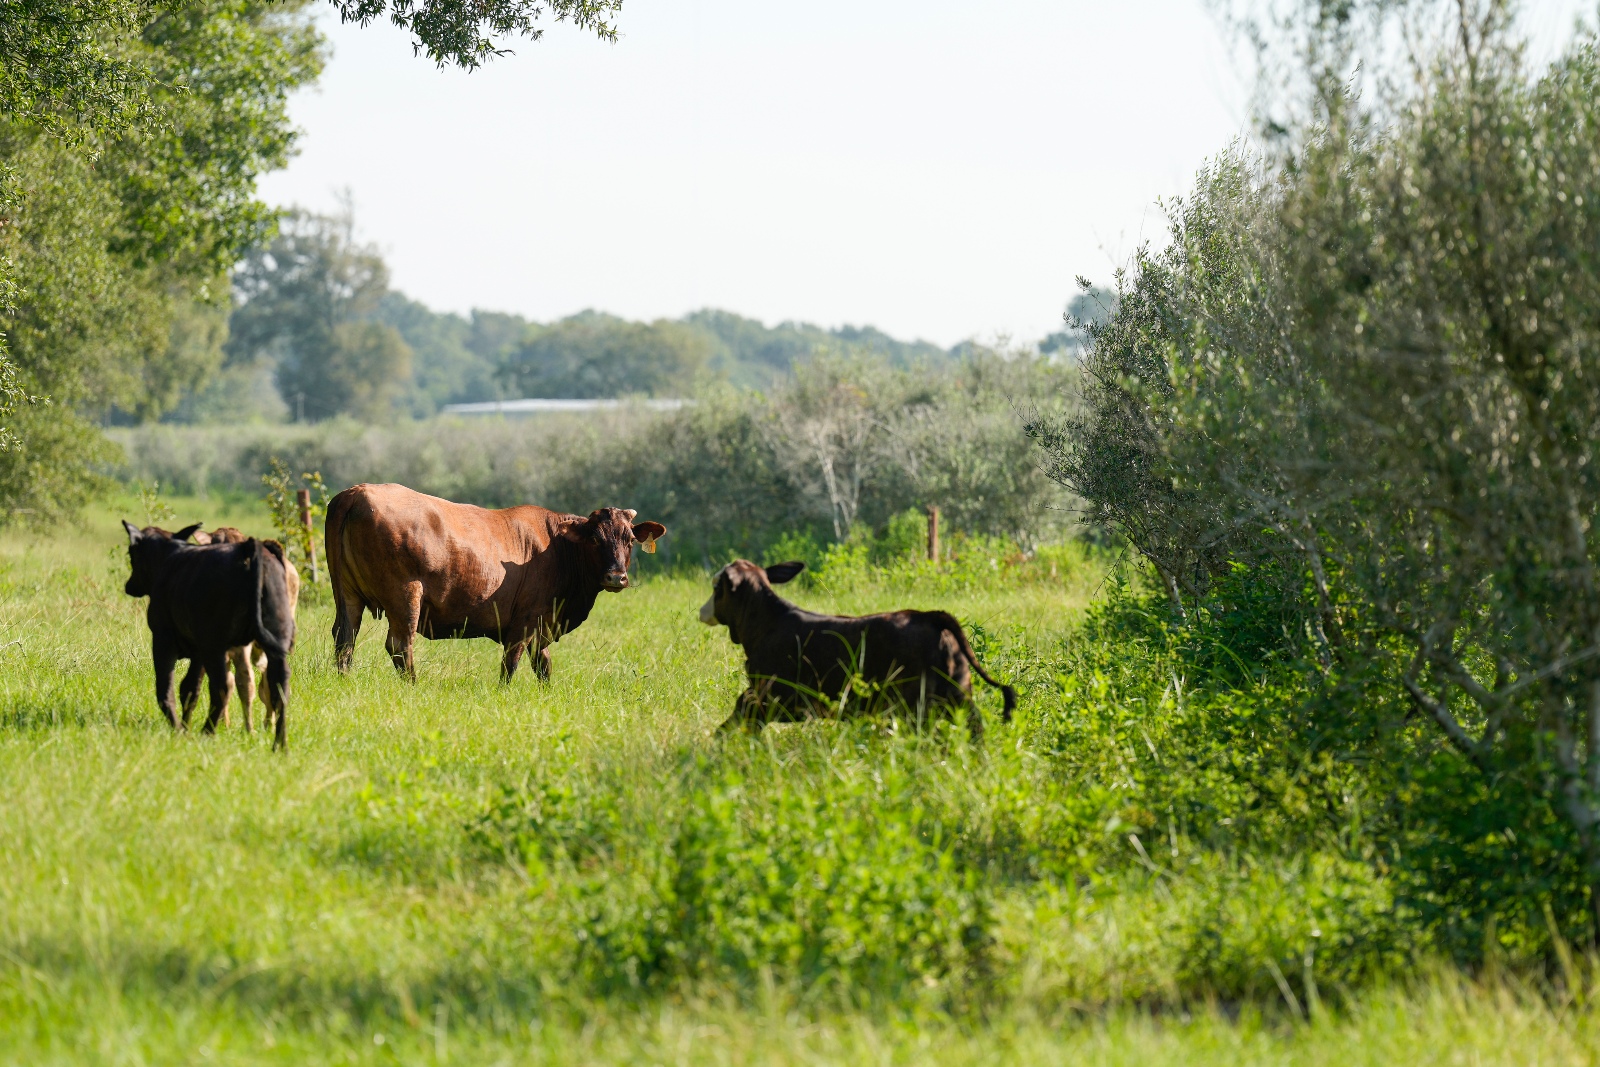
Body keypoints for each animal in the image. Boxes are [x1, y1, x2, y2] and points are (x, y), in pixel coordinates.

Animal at [121, 521, 297, 748]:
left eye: (132, 553)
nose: (129, 585)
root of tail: (247, 548)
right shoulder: (199, 652)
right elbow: (190, 689)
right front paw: (185, 726)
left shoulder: (163, 639)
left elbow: (166, 688)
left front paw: (179, 729)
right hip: (274, 641)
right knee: (278, 686)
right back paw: (279, 743)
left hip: (216, 647)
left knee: (224, 685)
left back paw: (208, 731)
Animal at [328, 486, 665, 684]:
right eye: (595, 539)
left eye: (630, 540)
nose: (616, 577)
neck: (557, 547)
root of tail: (356, 492)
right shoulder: (524, 622)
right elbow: (510, 666)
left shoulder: (541, 625)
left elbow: (543, 666)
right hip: (405, 595)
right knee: (399, 645)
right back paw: (413, 686)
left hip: (347, 595)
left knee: (344, 639)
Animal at [697, 559, 1011, 742]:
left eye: (716, 586)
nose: (702, 611)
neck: (767, 623)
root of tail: (928, 616)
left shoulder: (771, 696)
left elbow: (740, 712)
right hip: (958, 695)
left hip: (916, 706)